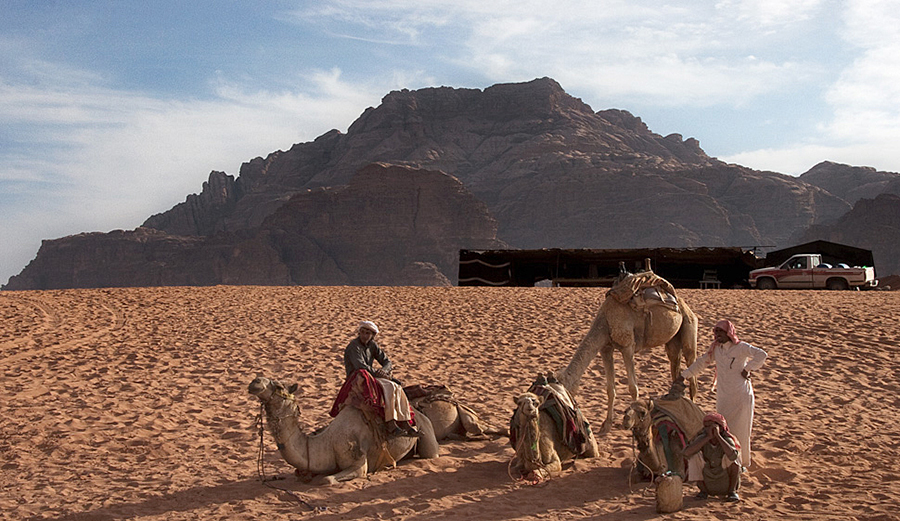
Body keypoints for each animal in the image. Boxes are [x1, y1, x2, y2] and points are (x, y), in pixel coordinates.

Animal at [556, 264, 704, 434]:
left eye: (561, 394)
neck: (605, 321)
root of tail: (683, 304)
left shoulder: (627, 346)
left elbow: (633, 388)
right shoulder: (605, 348)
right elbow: (610, 388)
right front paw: (606, 425)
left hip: (689, 325)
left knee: (692, 372)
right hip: (673, 341)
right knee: (675, 365)